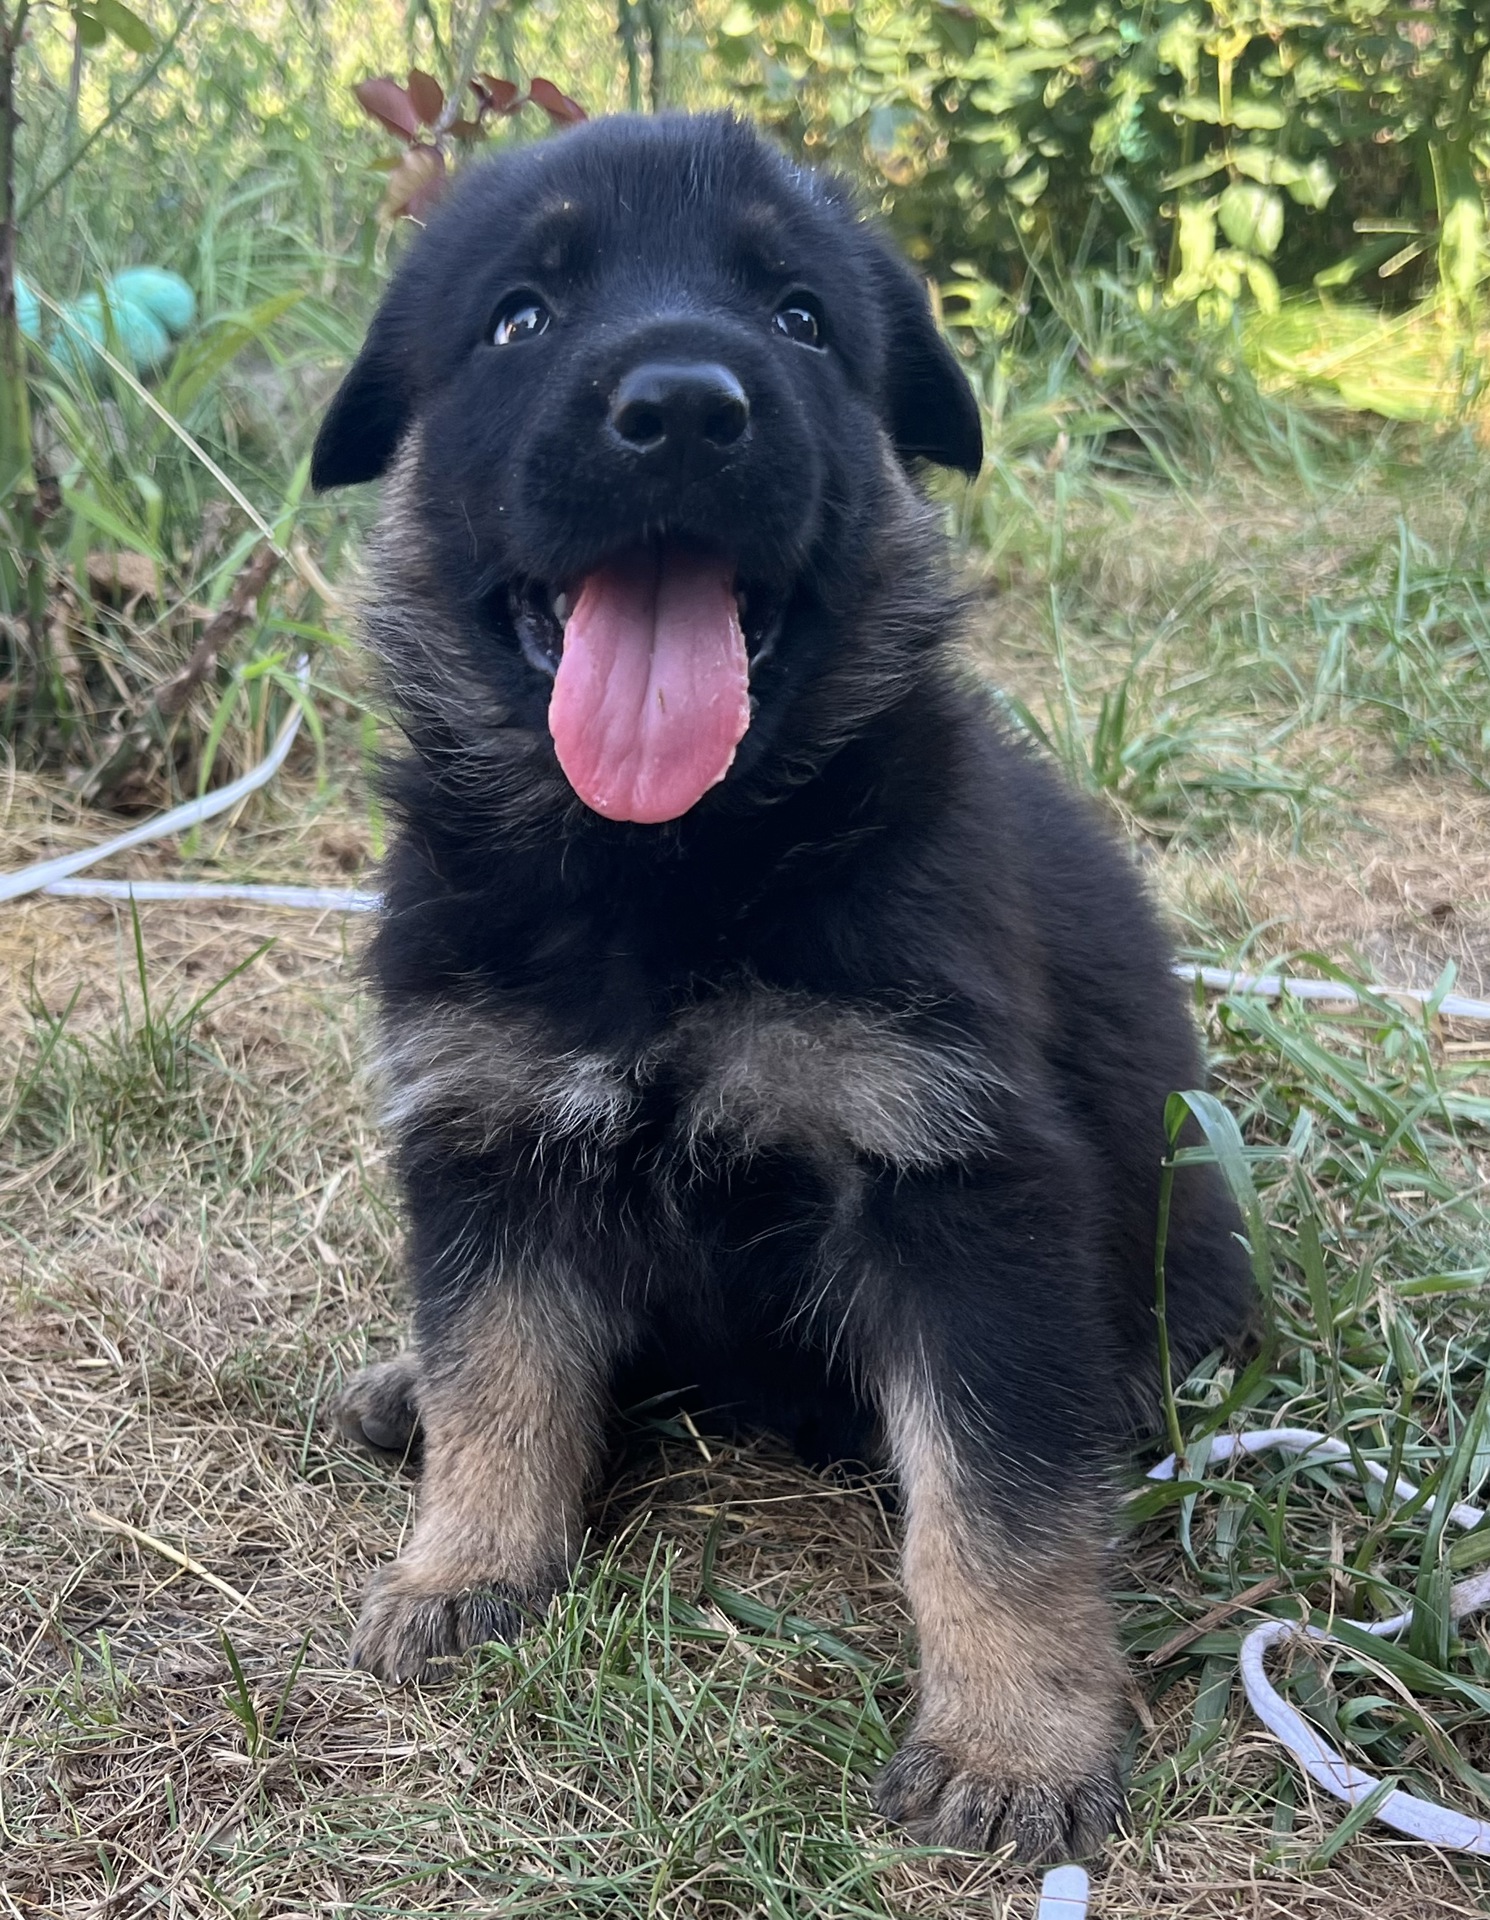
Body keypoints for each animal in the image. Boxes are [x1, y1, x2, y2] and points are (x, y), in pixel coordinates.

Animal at [314, 108, 1259, 1858]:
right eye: (520, 316)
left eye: (802, 318)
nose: (684, 407)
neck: (663, 867)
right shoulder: (486, 1129)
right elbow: (499, 1366)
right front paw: (466, 1562)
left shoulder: (962, 1185)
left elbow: (999, 1493)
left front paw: (1013, 1739)